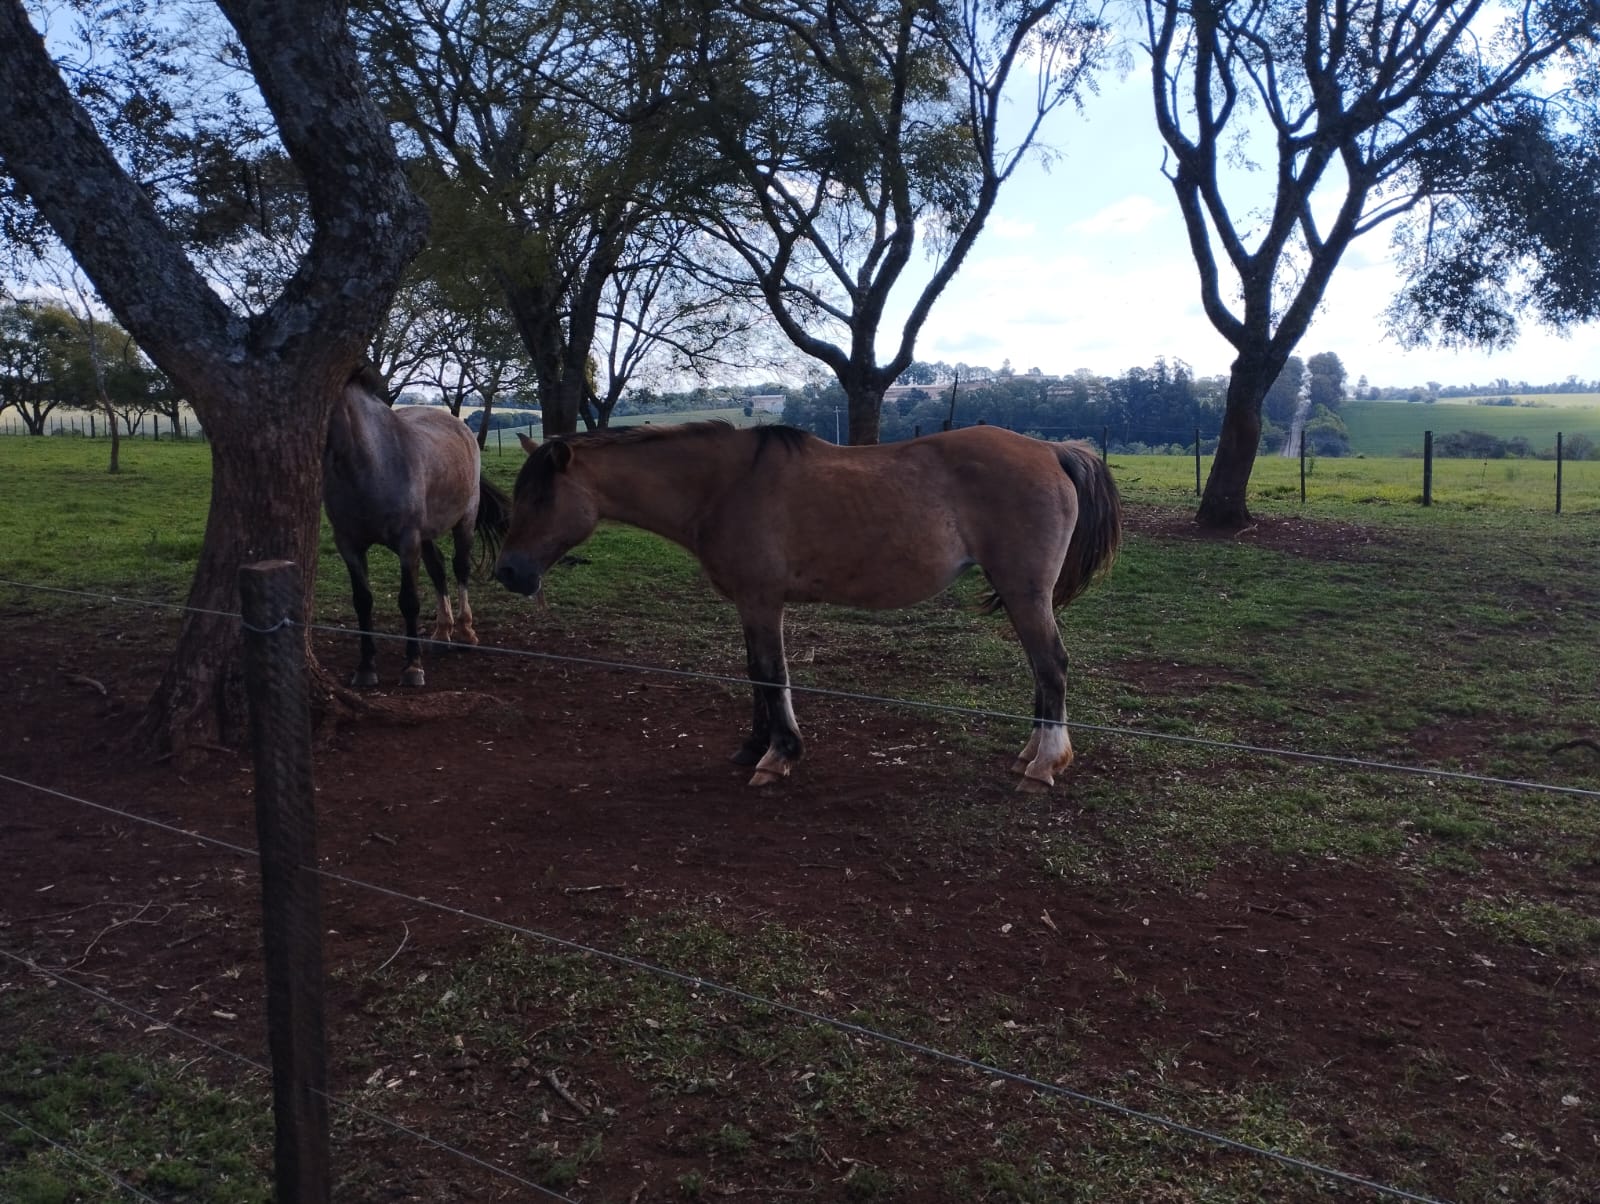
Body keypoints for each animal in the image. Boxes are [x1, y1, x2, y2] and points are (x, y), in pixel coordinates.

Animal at [323, 368, 512, 687]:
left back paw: (465, 632)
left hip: (464, 521)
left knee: (460, 568)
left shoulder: (407, 542)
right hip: (425, 535)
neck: (371, 466)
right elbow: (362, 601)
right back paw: (442, 632)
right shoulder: (349, 544)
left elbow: (409, 601)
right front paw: (366, 667)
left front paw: (412, 668)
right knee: (438, 569)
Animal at [492, 420, 1120, 790]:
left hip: (1025, 592)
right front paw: (754, 745)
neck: (723, 486)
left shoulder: (763, 600)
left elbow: (772, 674)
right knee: (1042, 671)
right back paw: (1030, 754)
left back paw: (1043, 766)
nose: (507, 571)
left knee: (1052, 666)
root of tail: (1053, 450)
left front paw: (779, 754)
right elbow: (755, 673)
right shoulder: (749, 603)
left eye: (540, 496)